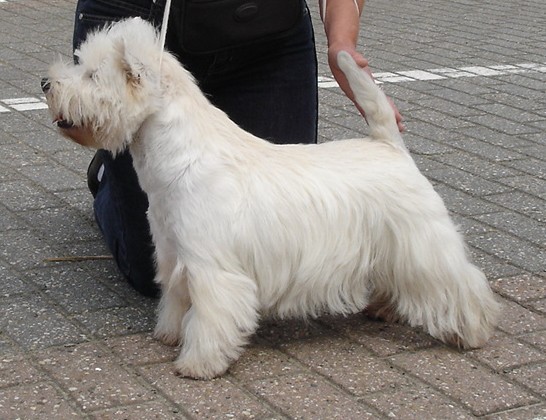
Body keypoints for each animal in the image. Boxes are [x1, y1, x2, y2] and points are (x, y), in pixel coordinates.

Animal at [44, 18, 500, 378]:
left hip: (421, 241)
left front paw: (198, 363)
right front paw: (169, 333)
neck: (179, 156)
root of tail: (389, 146)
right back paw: (385, 307)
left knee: (460, 283)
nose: (46, 83)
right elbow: (176, 298)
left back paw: (473, 331)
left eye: (91, 75)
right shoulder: (174, 252)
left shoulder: (212, 267)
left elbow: (210, 317)